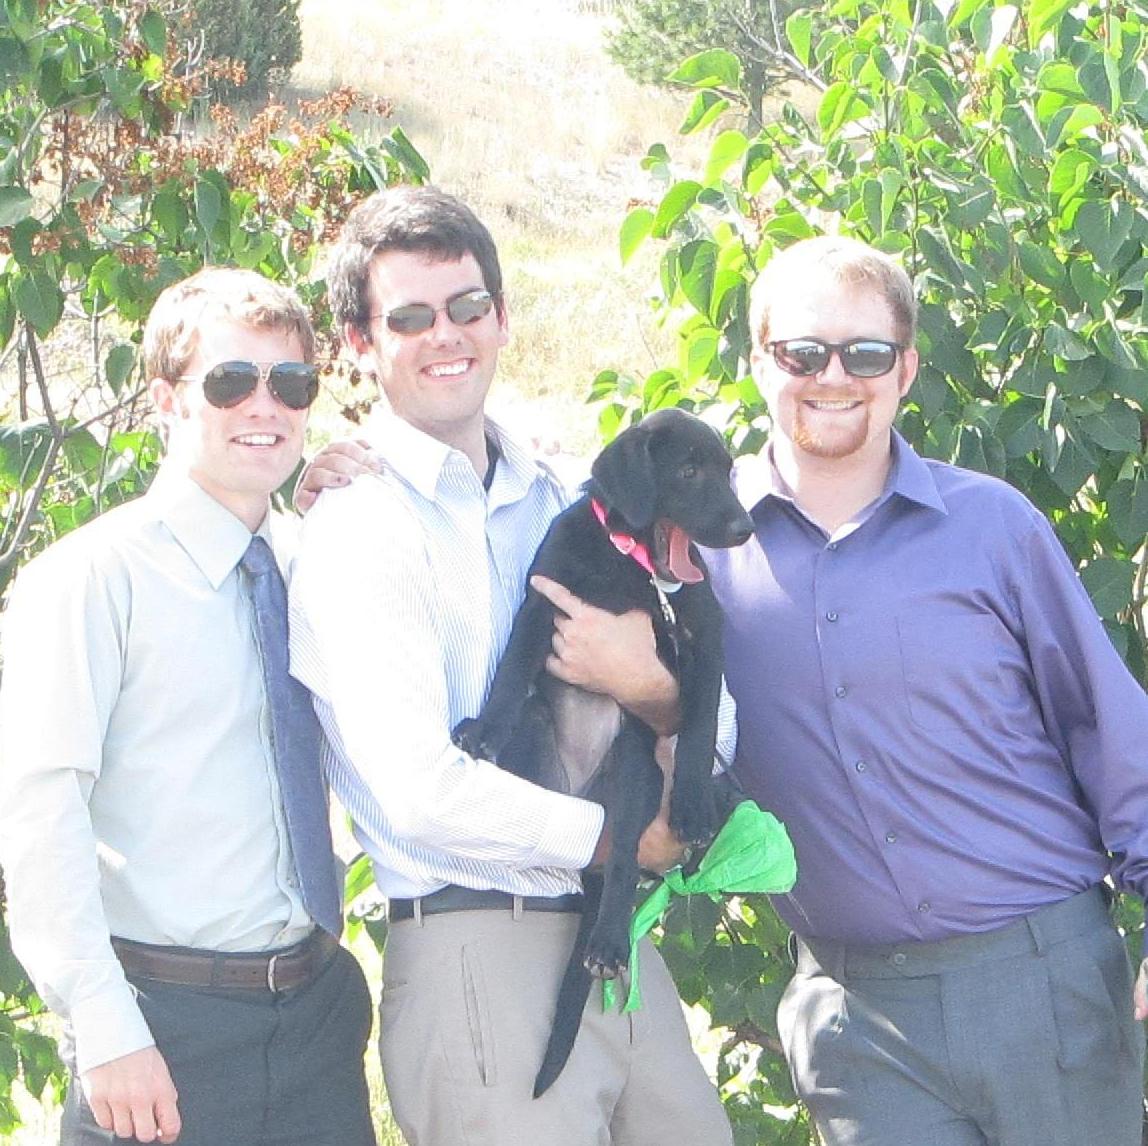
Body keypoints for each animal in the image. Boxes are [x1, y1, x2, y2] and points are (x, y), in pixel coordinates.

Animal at [453, 406, 754, 1096]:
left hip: (635, 774)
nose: (744, 528)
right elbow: (511, 671)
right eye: (688, 471)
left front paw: (693, 806)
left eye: (727, 469)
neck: (635, 566)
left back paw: (610, 943)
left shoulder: (704, 633)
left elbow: (700, 728)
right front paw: (485, 728)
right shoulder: (543, 603)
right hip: (543, 739)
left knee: (619, 865)